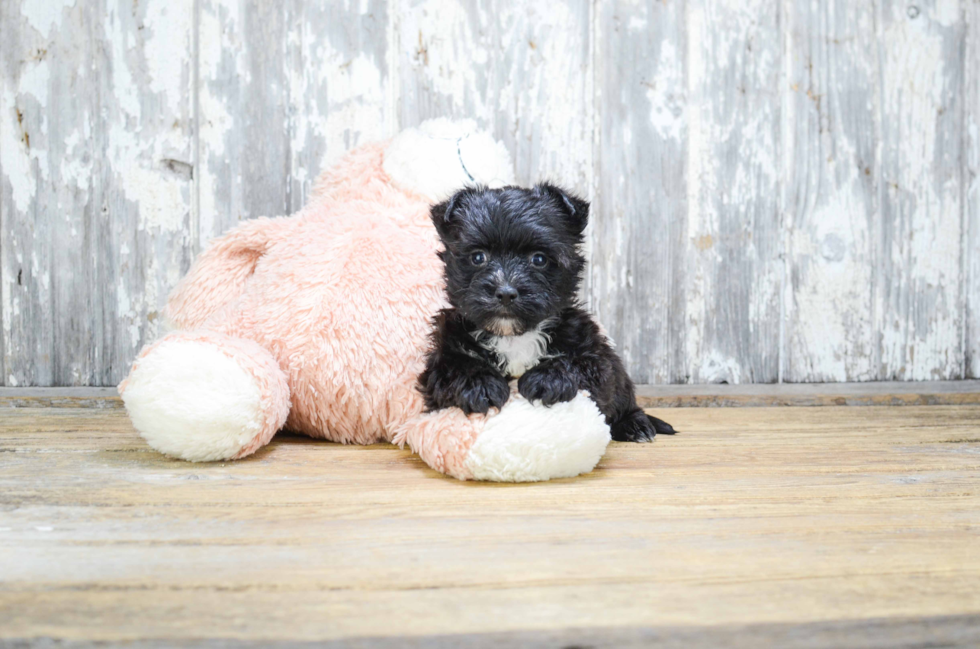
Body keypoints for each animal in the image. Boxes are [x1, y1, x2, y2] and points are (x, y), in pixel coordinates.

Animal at [418, 185, 676, 442]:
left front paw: (547, 379)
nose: (506, 293)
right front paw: (479, 384)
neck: (513, 336)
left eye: (539, 259)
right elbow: (455, 366)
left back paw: (635, 424)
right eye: (478, 257)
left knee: (624, 399)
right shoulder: (445, 350)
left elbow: (578, 363)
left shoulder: (594, 353)